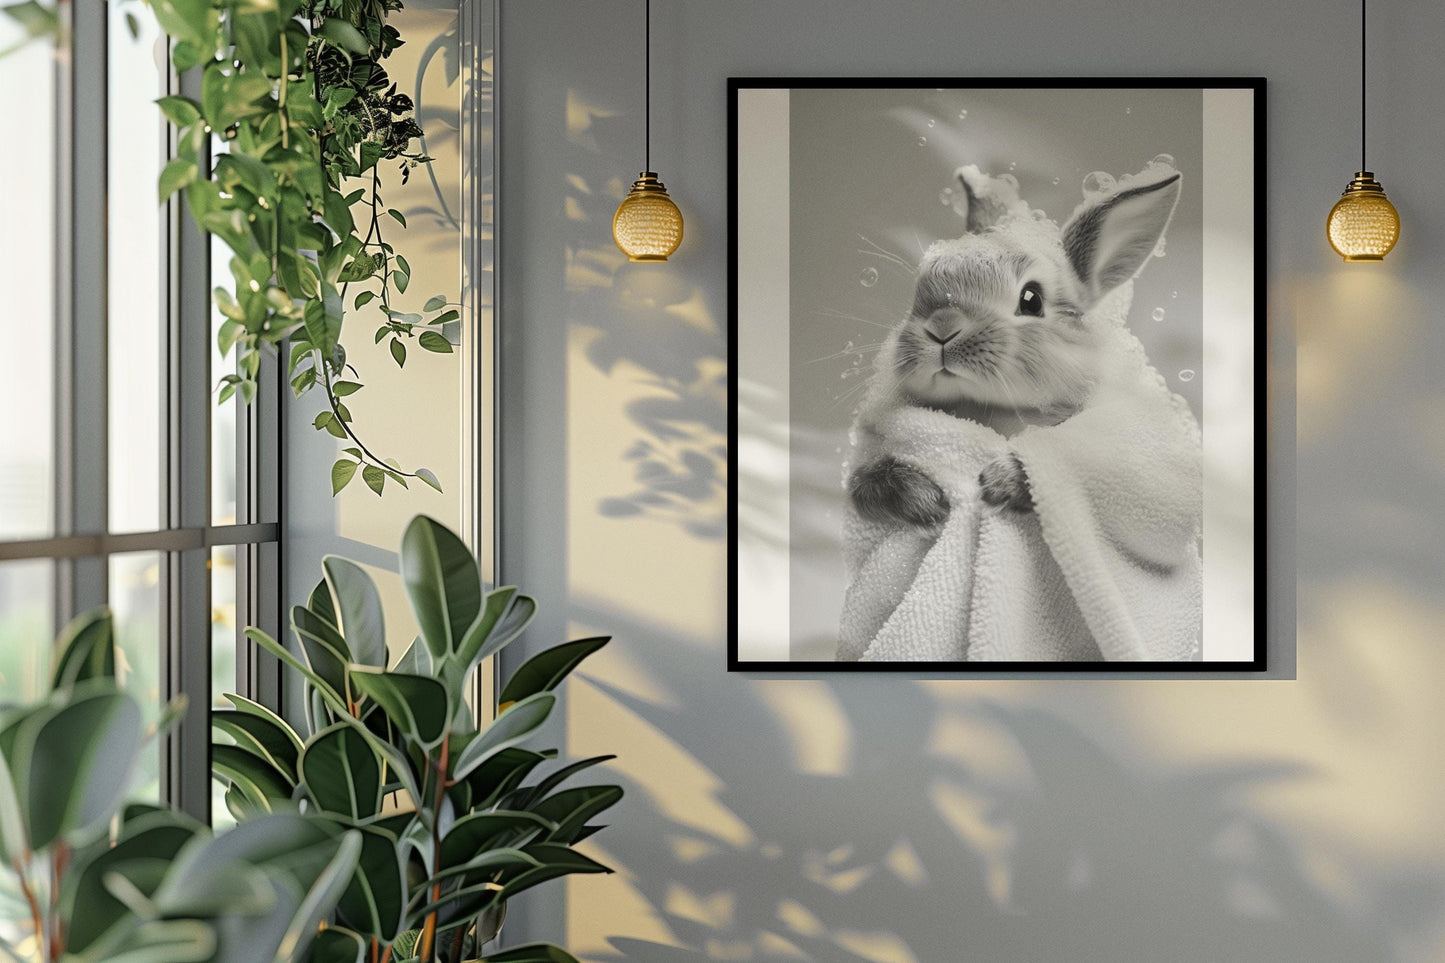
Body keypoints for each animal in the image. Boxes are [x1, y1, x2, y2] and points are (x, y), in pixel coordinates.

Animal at [848, 163, 1183, 529]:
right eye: (917, 293)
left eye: (1032, 300)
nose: (942, 327)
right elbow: (866, 482)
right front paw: (925, 502)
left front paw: (998, 484)